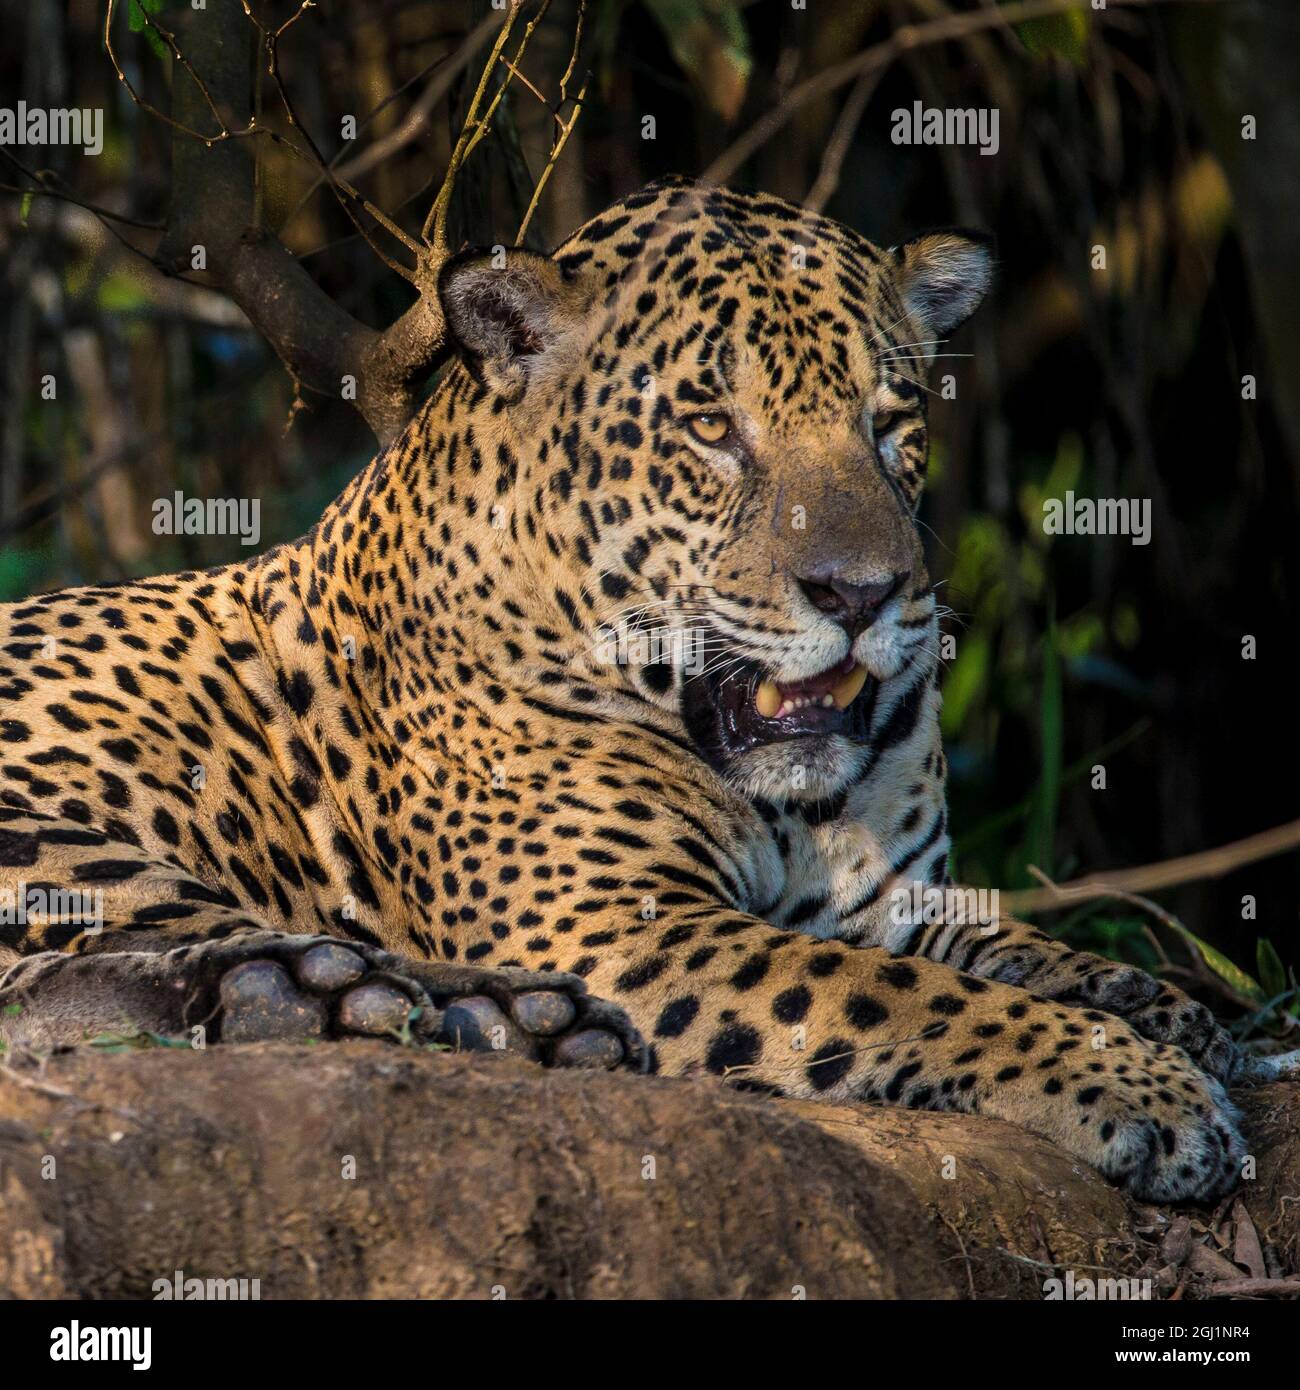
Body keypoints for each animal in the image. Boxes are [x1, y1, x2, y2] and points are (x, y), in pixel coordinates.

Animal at [0, 176, 1259, 1202]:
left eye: (890, 424)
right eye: (708, 426)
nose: (860, 594)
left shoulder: (889, 897)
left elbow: (1001, 947)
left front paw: (1158, 1003)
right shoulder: (615, 921)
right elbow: (897, 995)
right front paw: (1140, 1086)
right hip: (64, 841)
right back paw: (456, 1013)